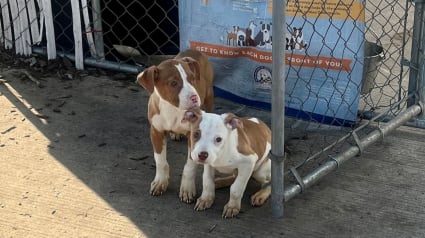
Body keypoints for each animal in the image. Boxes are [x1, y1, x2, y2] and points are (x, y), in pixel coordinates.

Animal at [136, 49, 214, 202]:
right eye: (173, 83)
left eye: (192, 79)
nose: (195, 98)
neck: (172, 109)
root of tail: (193, 50)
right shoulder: (156, 131)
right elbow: (160, 160)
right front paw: (160, 182)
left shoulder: (193, 136)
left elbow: (190, 165)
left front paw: (187, 188)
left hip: (209, 95)